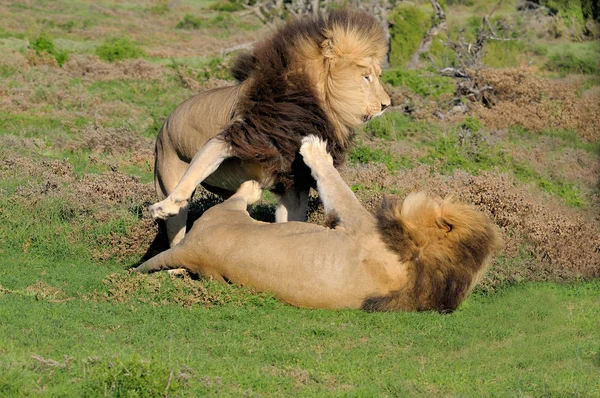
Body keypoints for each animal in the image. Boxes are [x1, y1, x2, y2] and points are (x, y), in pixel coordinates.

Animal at [137, 138, 502, 314]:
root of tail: (191, 249)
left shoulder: (357, 221)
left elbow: (337, 186)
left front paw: (314, 149)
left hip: (225, 214)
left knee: (238, 198)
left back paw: (252, 186)